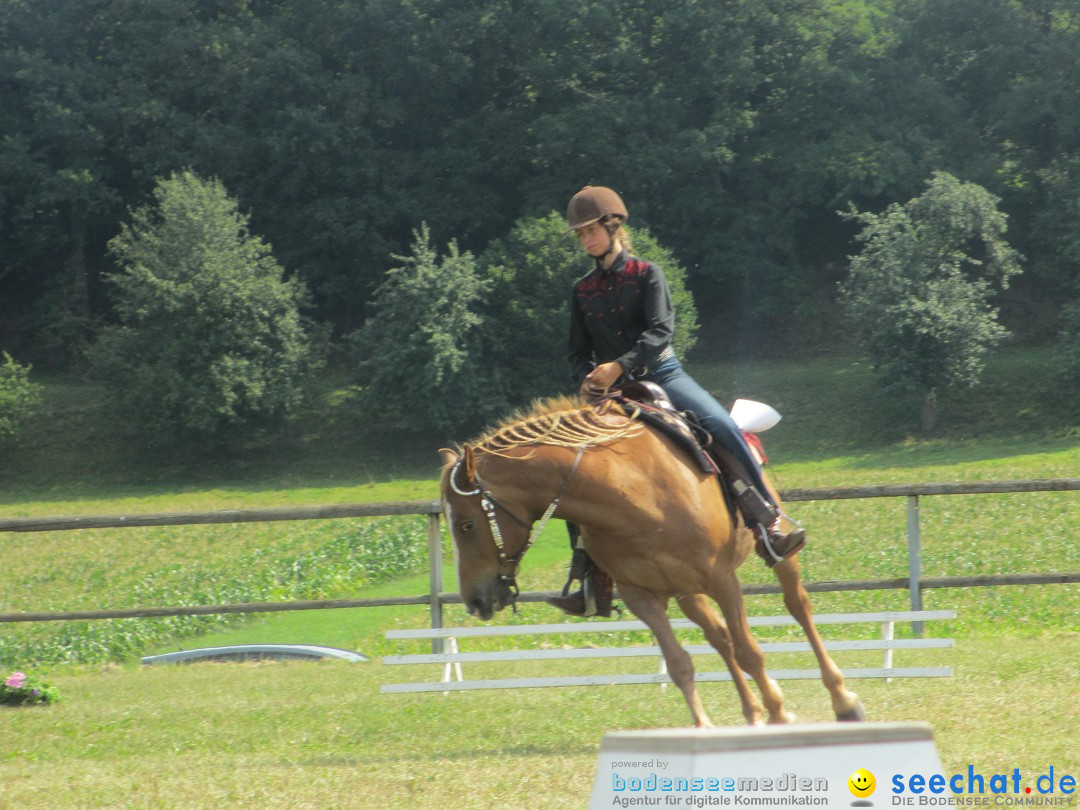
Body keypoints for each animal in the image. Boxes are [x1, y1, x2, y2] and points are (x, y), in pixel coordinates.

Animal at [434, 399, 864, 730]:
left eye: (466, 525)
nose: (474, 601)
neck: (633, 494)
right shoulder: (641, 596)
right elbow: (679, 663)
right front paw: (705, 726)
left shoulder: (722, 579)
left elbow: (750, 651)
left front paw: (780, 714)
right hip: (687, 591)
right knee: (720, 637)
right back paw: (753, 711)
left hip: (775, 558)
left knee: (797, 607)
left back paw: (842, 700)